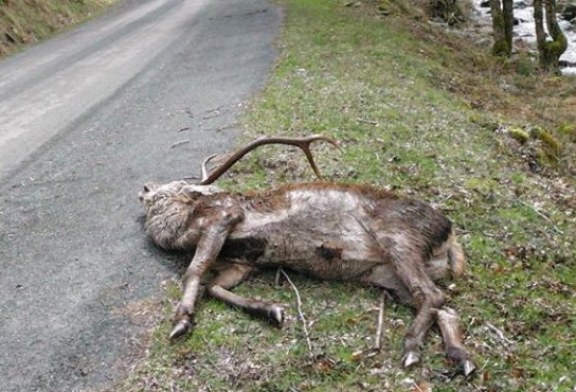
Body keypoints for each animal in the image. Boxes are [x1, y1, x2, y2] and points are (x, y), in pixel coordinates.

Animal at [140, 136, 476, 376]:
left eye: (174, 185)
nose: (144, 186)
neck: (180, 229)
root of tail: (450, 236)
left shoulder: (223, 215)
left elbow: (195, 272)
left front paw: (181, 322)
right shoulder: (241, 262)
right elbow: (213, 286)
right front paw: (272, 310)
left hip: (398, 239)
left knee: (433, 295)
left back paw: (411, 348)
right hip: (389, 276)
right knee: (444, 306)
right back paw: (463, 358)